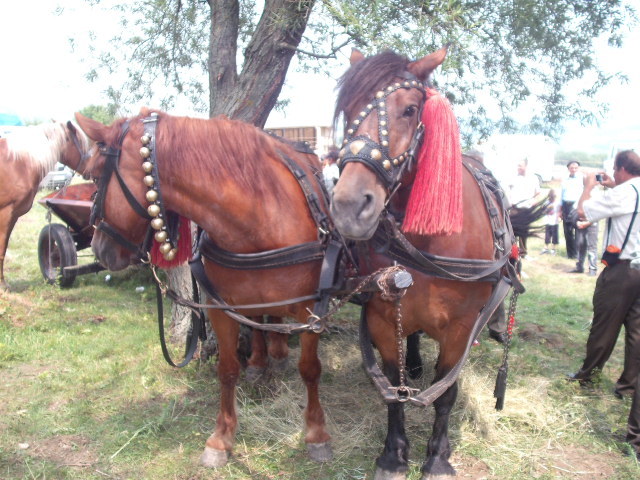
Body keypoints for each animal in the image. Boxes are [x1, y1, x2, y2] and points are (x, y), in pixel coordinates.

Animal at [0, 122, 90, 290]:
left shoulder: (13, 216)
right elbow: (2, 247)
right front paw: (2, 284)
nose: (91, 169)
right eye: (81, 143)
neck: (18, 163)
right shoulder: (5, 213)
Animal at [69, 110, 340, 466]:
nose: (100, 249)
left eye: (95, 176)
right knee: (259, 321)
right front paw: (221, 438)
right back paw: (261, 360)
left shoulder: (311, 308)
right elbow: (227, 369)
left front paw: (317, 433)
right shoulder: (220, 307)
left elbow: (310, 369)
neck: (260, 218)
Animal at [330, 47, 524, 478]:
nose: (349, 206)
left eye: (409, 109)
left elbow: (446, 393)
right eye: (347, 110)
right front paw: (393, 454)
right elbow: (392, 387)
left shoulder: (461, 330)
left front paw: (437, 457)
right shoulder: (383, 318)